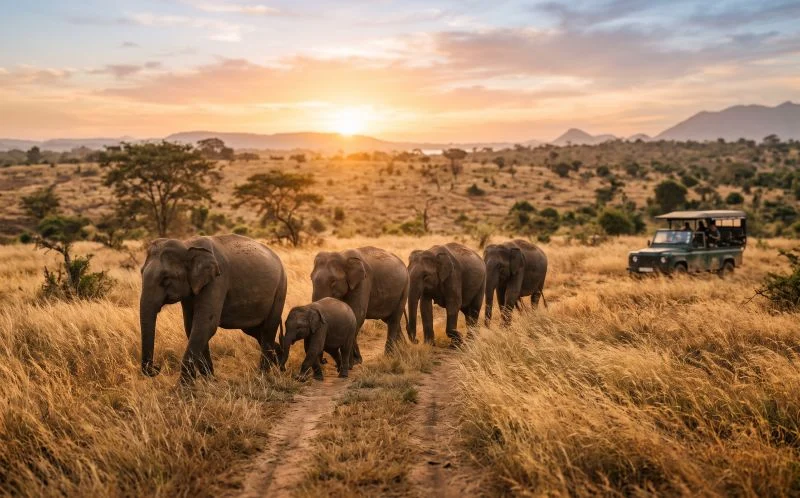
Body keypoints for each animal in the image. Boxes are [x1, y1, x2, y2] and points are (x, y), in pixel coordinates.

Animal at [139, 234, 287, 382]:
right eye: (141, 272)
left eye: (165, 278)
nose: (157, 368)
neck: (187, 244)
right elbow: (191, 327)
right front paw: (209, 381)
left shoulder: (217, 280)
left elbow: (205, 325)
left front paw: (185, 386)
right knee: (255, 331)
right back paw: (280, 362)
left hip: (281, 288)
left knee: (268, 329)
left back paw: (263, 375)